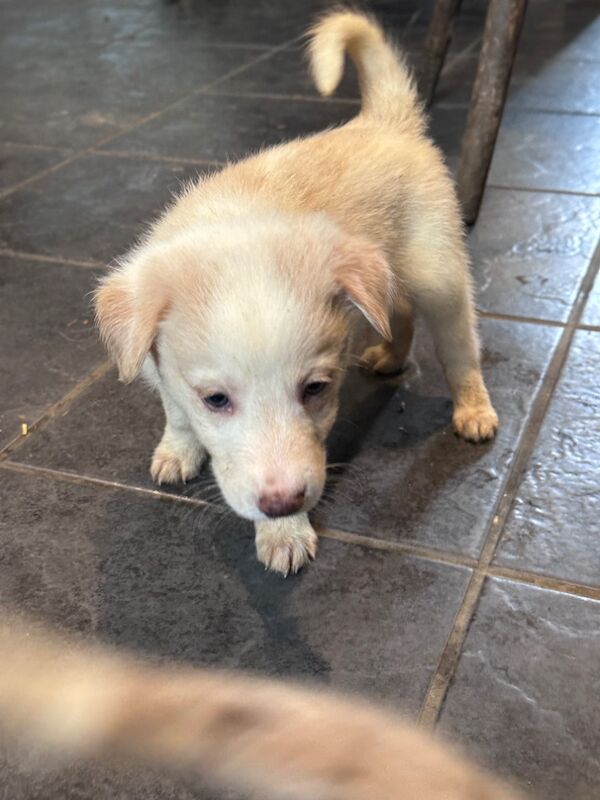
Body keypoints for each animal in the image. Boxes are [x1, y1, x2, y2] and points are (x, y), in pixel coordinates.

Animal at [95, 12, 496, 576]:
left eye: (316, 388)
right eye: (215, 399)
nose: (284, 503)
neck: (233, 221)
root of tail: (383, 121)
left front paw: (282, 533)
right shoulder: (157, 364)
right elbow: (176, 410)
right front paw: (179, 449)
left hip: (439, 273)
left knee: (460, 349)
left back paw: (474, 410)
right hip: (384, 271)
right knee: (398, 313)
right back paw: (390, 356)